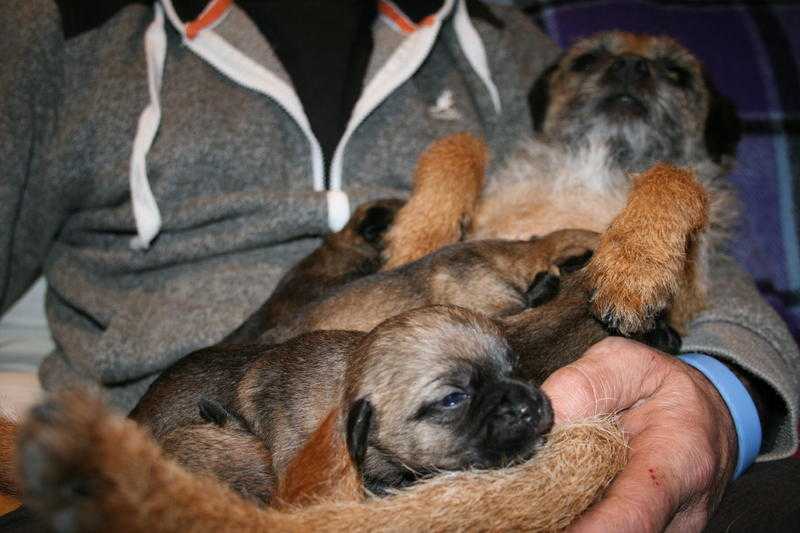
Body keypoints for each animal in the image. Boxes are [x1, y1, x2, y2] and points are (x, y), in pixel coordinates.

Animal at [384, 31, 740, 334]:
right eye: (586, 61)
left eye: (677, 73)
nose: (629, 64)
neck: (599, 157)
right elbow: (462, 142)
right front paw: (424, 231)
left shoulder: (683, 301)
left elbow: (673, 175)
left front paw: (635, 264)